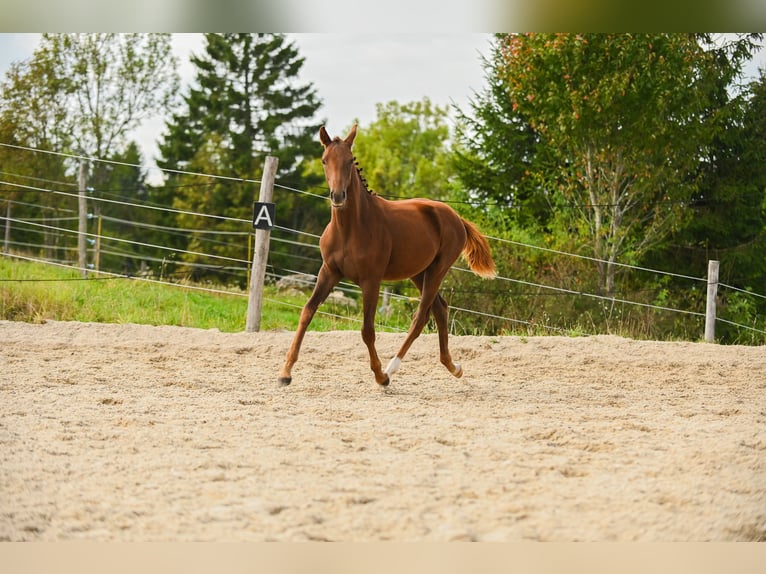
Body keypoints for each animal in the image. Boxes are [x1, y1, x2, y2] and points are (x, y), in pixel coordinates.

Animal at [278, 124, 496, 387]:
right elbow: (307, 312)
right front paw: (285, 373)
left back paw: (392, 369)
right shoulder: (328, 272)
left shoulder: (371, 281)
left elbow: (367, 330)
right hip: (419, 273)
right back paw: (454, 367)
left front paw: (380, 375)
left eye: (350, 160)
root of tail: (456, 217)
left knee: (420, 317)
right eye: (324, 160)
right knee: (440, 309)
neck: (350, 229)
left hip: (438, 269)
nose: (338, 196)